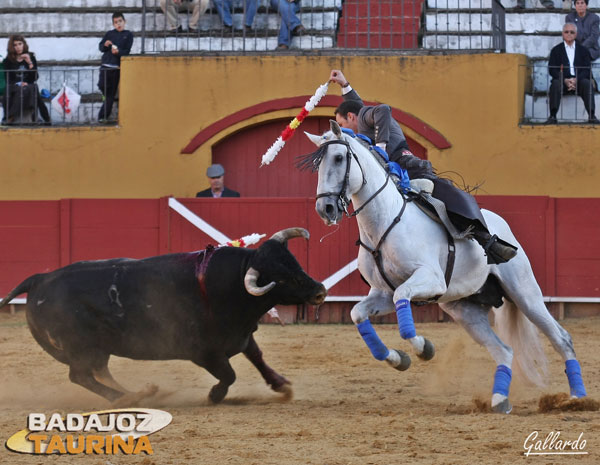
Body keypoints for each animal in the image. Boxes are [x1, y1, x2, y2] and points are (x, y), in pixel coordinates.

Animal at [0, 227, 326, 400]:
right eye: (280, 278)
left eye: (294, 263)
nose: (320, 290)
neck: (231, 285)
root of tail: (40, 279)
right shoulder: (204, 353)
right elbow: (229, 374)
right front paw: (215, 395)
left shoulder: (241, 335)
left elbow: (257, 357)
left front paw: (282, 385)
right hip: (79, 347)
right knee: (80, 375)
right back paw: (126, 398)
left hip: (95, 349)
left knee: (98, 371)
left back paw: (142, 391)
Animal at [308, 120, 588, 414]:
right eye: (317, 164)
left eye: (339, 158)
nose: (325, 208)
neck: (385, 221)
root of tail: (501, 224)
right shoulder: (382, 293)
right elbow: (357, 313)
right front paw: (398, 359)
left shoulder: (429, 280)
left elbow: (402, 306)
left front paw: (424, 348)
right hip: (465, 310)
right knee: (504, 350)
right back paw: (500, 400)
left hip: (525, 294)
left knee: (561, 338)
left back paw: (577, 398)